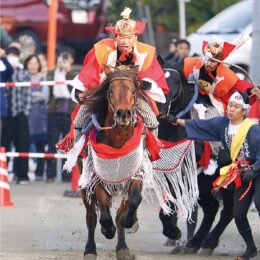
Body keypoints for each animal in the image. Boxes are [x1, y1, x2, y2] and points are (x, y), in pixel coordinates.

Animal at [80, 65, 143, 260]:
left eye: (133, 91)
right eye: (111, 91)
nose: (123, 114)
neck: (117, 141)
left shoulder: (134, 175)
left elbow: (134, 200)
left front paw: (128, 222)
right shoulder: (97, 177)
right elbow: (102, 209)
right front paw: (107, 229)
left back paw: (122, 247)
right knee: (91, 216)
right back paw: (90, 249)